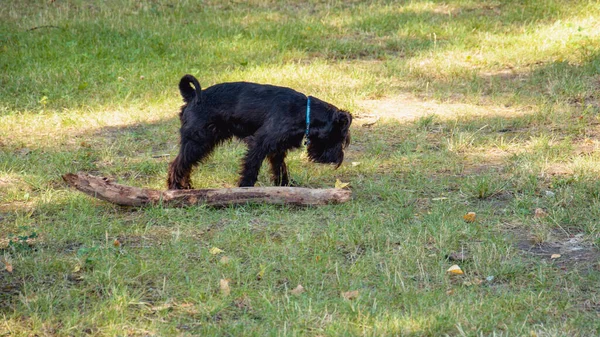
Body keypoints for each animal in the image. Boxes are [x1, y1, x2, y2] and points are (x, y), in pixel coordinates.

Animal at [166, 74, 352, 189]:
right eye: (339, 138)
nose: (336, 159)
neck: (303, 112)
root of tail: (192, 96)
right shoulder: (260, 143)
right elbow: (252, 166)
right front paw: (245, 187)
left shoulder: (277, 149)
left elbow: (280, 168)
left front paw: (285, 185)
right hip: (197, 142)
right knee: (178, 164)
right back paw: (176, 188)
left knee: (185, 165)